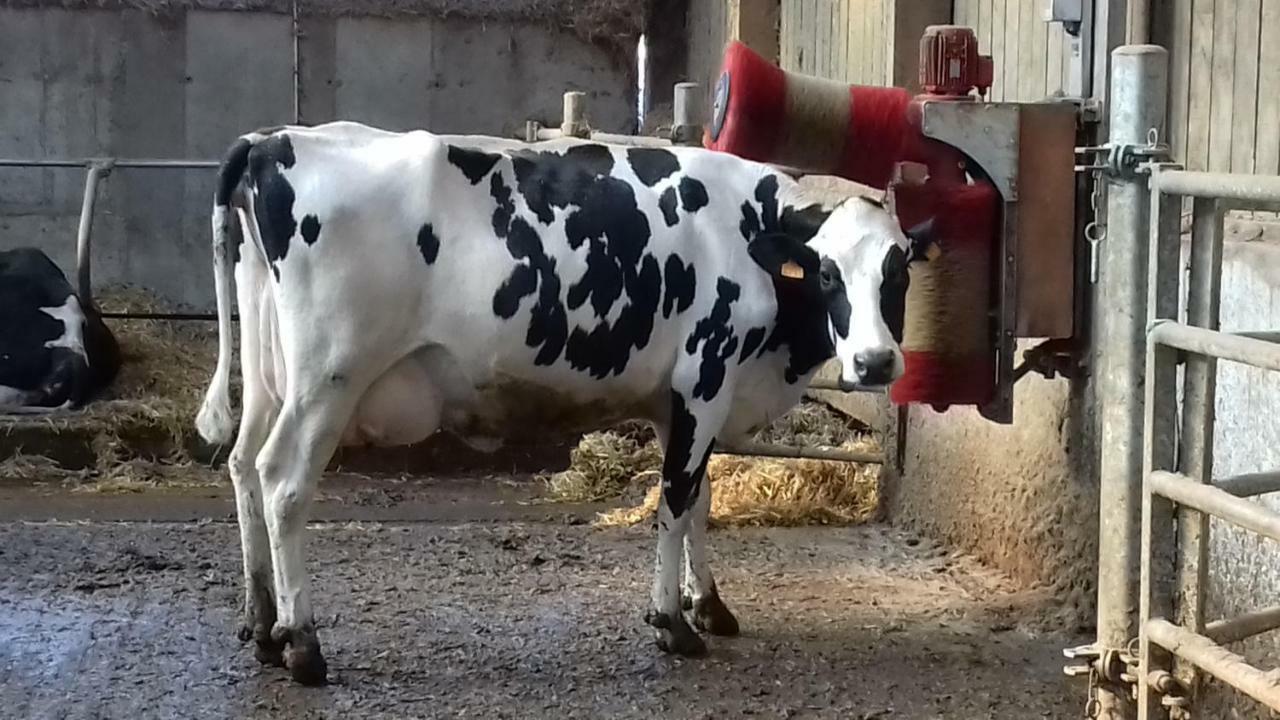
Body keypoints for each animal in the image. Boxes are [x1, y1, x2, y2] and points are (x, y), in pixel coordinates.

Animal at [199, 120, 936, 681]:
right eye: (826, 272)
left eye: (898, 271)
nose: (875, 361)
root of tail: (275, 139)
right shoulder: (705, 374)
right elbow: (674, 503)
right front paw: (672, 624)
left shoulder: (684, 401)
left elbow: (699, 500)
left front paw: (709, 605)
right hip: (329, 376)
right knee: (282, 483)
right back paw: (302, 642)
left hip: (270, 376)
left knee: (241, 465)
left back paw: (261, 624)